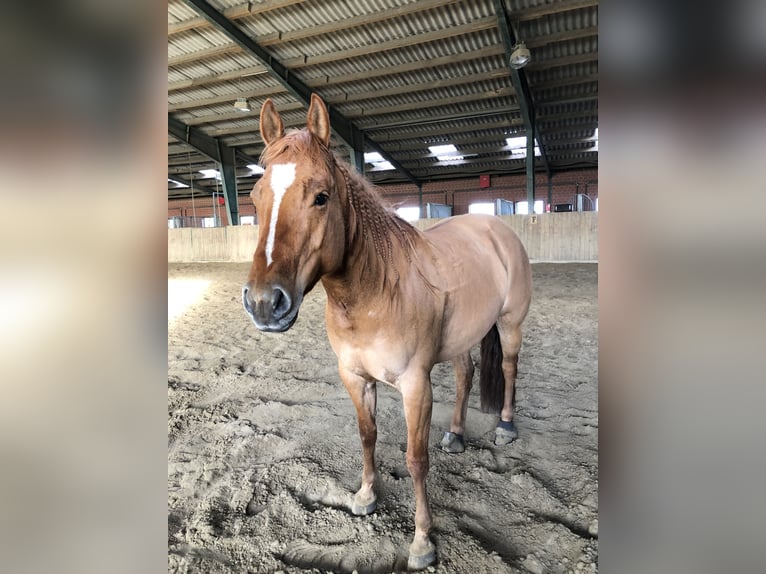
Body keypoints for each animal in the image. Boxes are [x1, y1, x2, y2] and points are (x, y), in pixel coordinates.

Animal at [242, 94, 532, 570]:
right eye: (254, 196)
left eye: (321, 197)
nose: (265, 302)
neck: (376, 292)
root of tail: (494, 228)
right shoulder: (355, 378)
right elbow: (367, 436)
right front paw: (365, 496)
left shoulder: (415, 385)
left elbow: (416, 459)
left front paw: (422, 542)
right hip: (461, 337)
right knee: (466, 375)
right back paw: (456, 434)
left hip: (509, 324)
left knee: (508, 369)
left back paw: (506, 427)